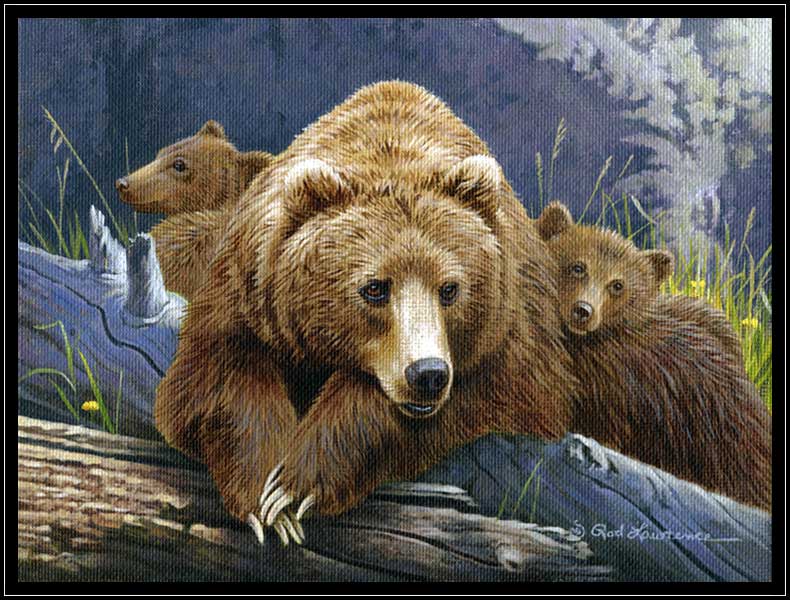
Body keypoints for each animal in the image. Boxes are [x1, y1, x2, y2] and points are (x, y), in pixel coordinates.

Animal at [155, 81, 578, 545]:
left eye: (450, 288)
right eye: (374, 288)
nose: (428, 374)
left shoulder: (510, 330)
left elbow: (498, 394)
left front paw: (297, 485)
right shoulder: (247, 291)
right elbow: (213, 376)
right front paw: (267, 495)